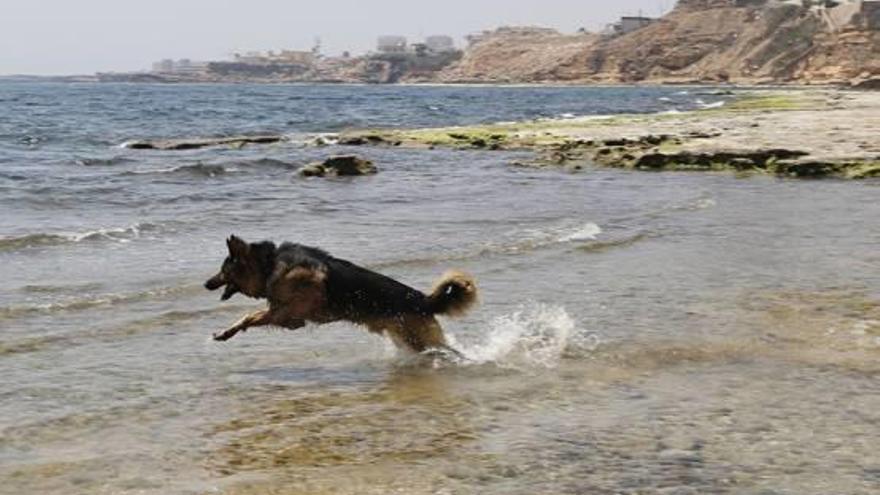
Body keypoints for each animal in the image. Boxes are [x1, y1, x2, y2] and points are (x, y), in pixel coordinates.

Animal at [203, 237, 478, 356]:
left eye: (223, 270)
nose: (205, 284)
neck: (268, 264)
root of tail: (423, 299)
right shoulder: (283, 315)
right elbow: (248, 317)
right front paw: (226, 332)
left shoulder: (286, 314)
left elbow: (249, 316)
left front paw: (226, 332)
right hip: (406, 337)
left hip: (417, 337)